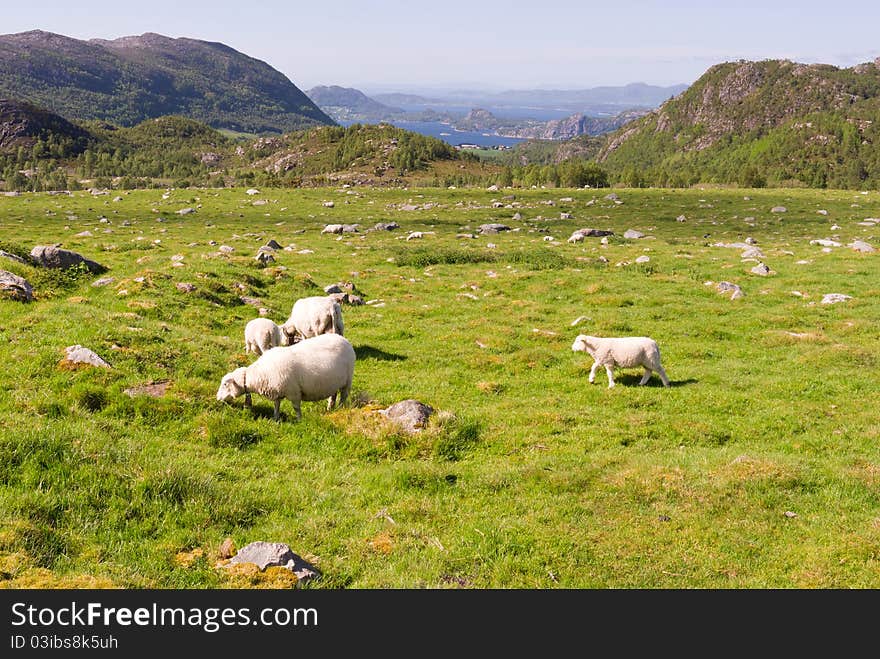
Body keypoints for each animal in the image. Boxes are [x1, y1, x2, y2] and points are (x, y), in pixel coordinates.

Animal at [217, 332, 358, 420]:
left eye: (225, 384)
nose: (217, 398)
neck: (260, 374)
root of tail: (344, 340)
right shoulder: (276, 390)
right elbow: (276, 405)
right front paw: (276, 418)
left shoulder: (294, 392)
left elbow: (296, 408)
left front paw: (299, 420)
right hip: (335, 381)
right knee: (333, 395)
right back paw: (330, 408)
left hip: (348, 380)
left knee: (344, 396)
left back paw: (339, 408)